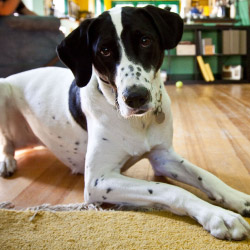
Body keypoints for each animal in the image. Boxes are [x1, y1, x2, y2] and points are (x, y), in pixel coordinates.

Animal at [0, 5, 250, 240]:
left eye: (145, 40)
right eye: (105, 50)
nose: (136, 97)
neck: (139, 122)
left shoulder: (163, 157)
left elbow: (205, 175)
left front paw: (237, 198)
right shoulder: (98, 180)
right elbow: (169, 189)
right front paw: (218, 215)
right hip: (4, 88)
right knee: (7, 141)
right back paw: (7, 161)